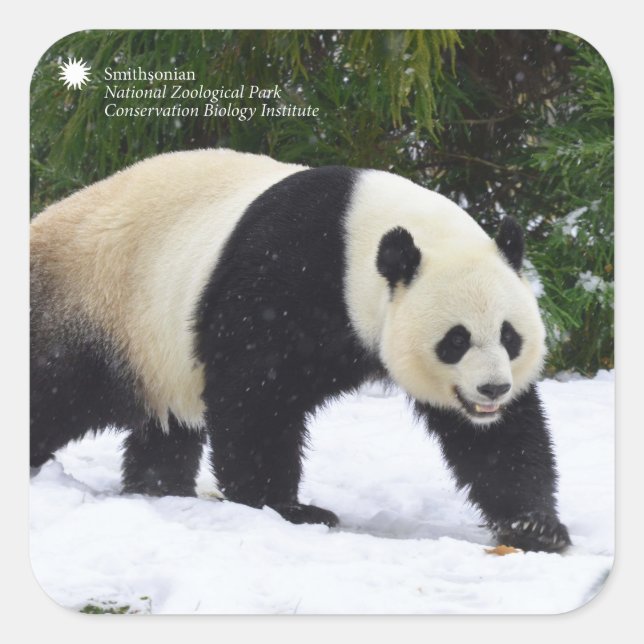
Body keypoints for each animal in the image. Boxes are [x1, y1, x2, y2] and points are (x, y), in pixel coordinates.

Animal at [30, 148, 571, 552]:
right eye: (455, 340)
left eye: (509, 336)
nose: (492, 389)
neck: (362, 238)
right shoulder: (285, 275)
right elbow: (256, 397)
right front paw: (287, 509)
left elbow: (499, 440)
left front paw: (534, 526)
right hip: (98, 305)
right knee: (58, 388)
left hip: (158, 350)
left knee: (165, 427)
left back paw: (158, 487)